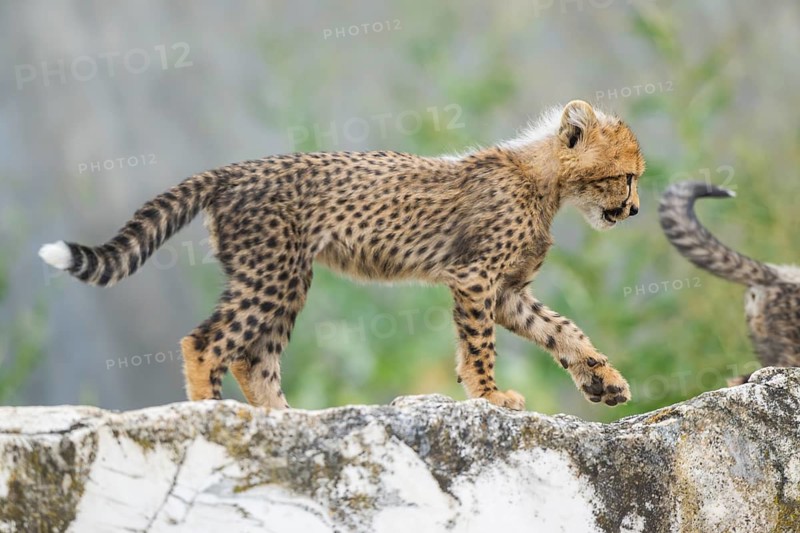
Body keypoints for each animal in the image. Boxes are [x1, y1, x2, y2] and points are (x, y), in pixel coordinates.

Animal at [39, 100, 645, 410]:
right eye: (628, 176)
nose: (636, 211)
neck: (546, 180)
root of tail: (232, 170)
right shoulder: (475, 279)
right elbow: (479, 348)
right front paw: (490, 396)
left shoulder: (507, 293)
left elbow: (563, 331)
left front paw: (605, 379)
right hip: (273, 273)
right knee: (208, 342)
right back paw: (215, 414)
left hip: (283, 277)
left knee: (253, 357)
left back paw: (282, 420)